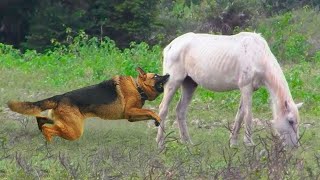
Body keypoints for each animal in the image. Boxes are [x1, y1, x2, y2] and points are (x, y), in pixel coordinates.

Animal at [7, 67, 170, 142]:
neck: (137, 87)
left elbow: (148, 113)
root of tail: (59, 97)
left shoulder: (131, 116)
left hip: (65, 123)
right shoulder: (131, 111)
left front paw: (157, 121)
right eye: (156, 76)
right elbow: (150, 111)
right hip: (74, 130)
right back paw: (49, 142)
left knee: (42, 120)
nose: (168, 74)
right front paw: (158, 118)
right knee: (49, 128)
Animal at [157, 32, 302, 148]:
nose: (295, 146)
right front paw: (249, 142)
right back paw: (160, 143)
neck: (258, 55)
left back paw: (187, 142)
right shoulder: (246, 87)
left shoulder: (248, 89)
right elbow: (248, 115)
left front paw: (233, 142)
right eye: (290, 121)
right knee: (163, 109)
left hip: (189, 84)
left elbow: (240, 114)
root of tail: (170, 46)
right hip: (173, 81)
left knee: (180, 111)